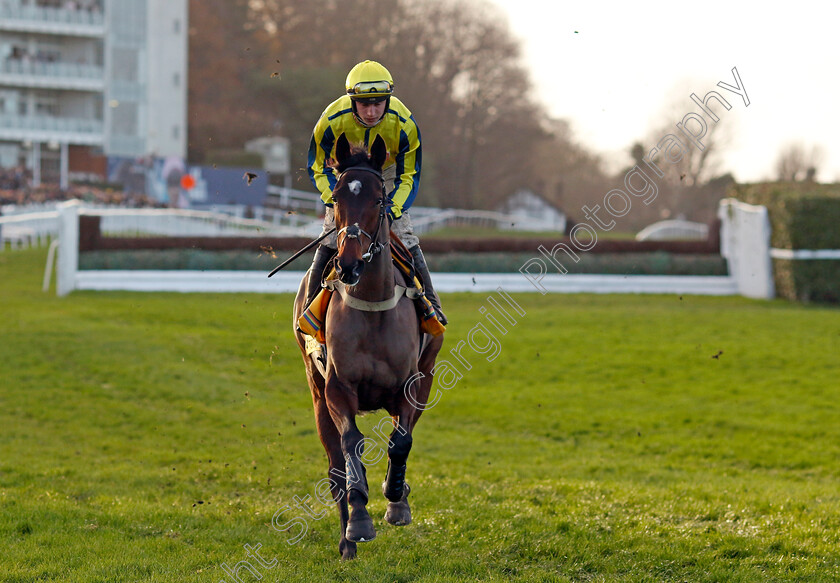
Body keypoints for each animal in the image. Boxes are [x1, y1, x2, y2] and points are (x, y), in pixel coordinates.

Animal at [292, 133, 442, 560]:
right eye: (338, 197)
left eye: (378, 199)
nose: (348, 264)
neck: (373, 305)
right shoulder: (336, 389)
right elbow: (351, 445)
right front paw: (359, 521)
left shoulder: (412, 384)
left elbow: (401, 441)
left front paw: (397, 497)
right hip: (315, 390)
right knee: (335, 468)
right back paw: (347, 542)